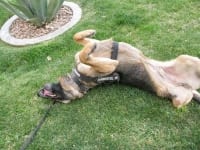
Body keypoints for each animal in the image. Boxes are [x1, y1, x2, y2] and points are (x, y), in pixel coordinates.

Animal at [38, 29, 200, 108]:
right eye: (58, 99)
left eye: (54, 96)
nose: (39, 93)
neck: (78, 78)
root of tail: (185, 85)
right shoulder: (110, 65)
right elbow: (86, 56)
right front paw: (90, 49)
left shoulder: (91, 46)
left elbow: (78, 38)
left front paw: (89, 33)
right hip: (179, 101)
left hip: (187, 58)